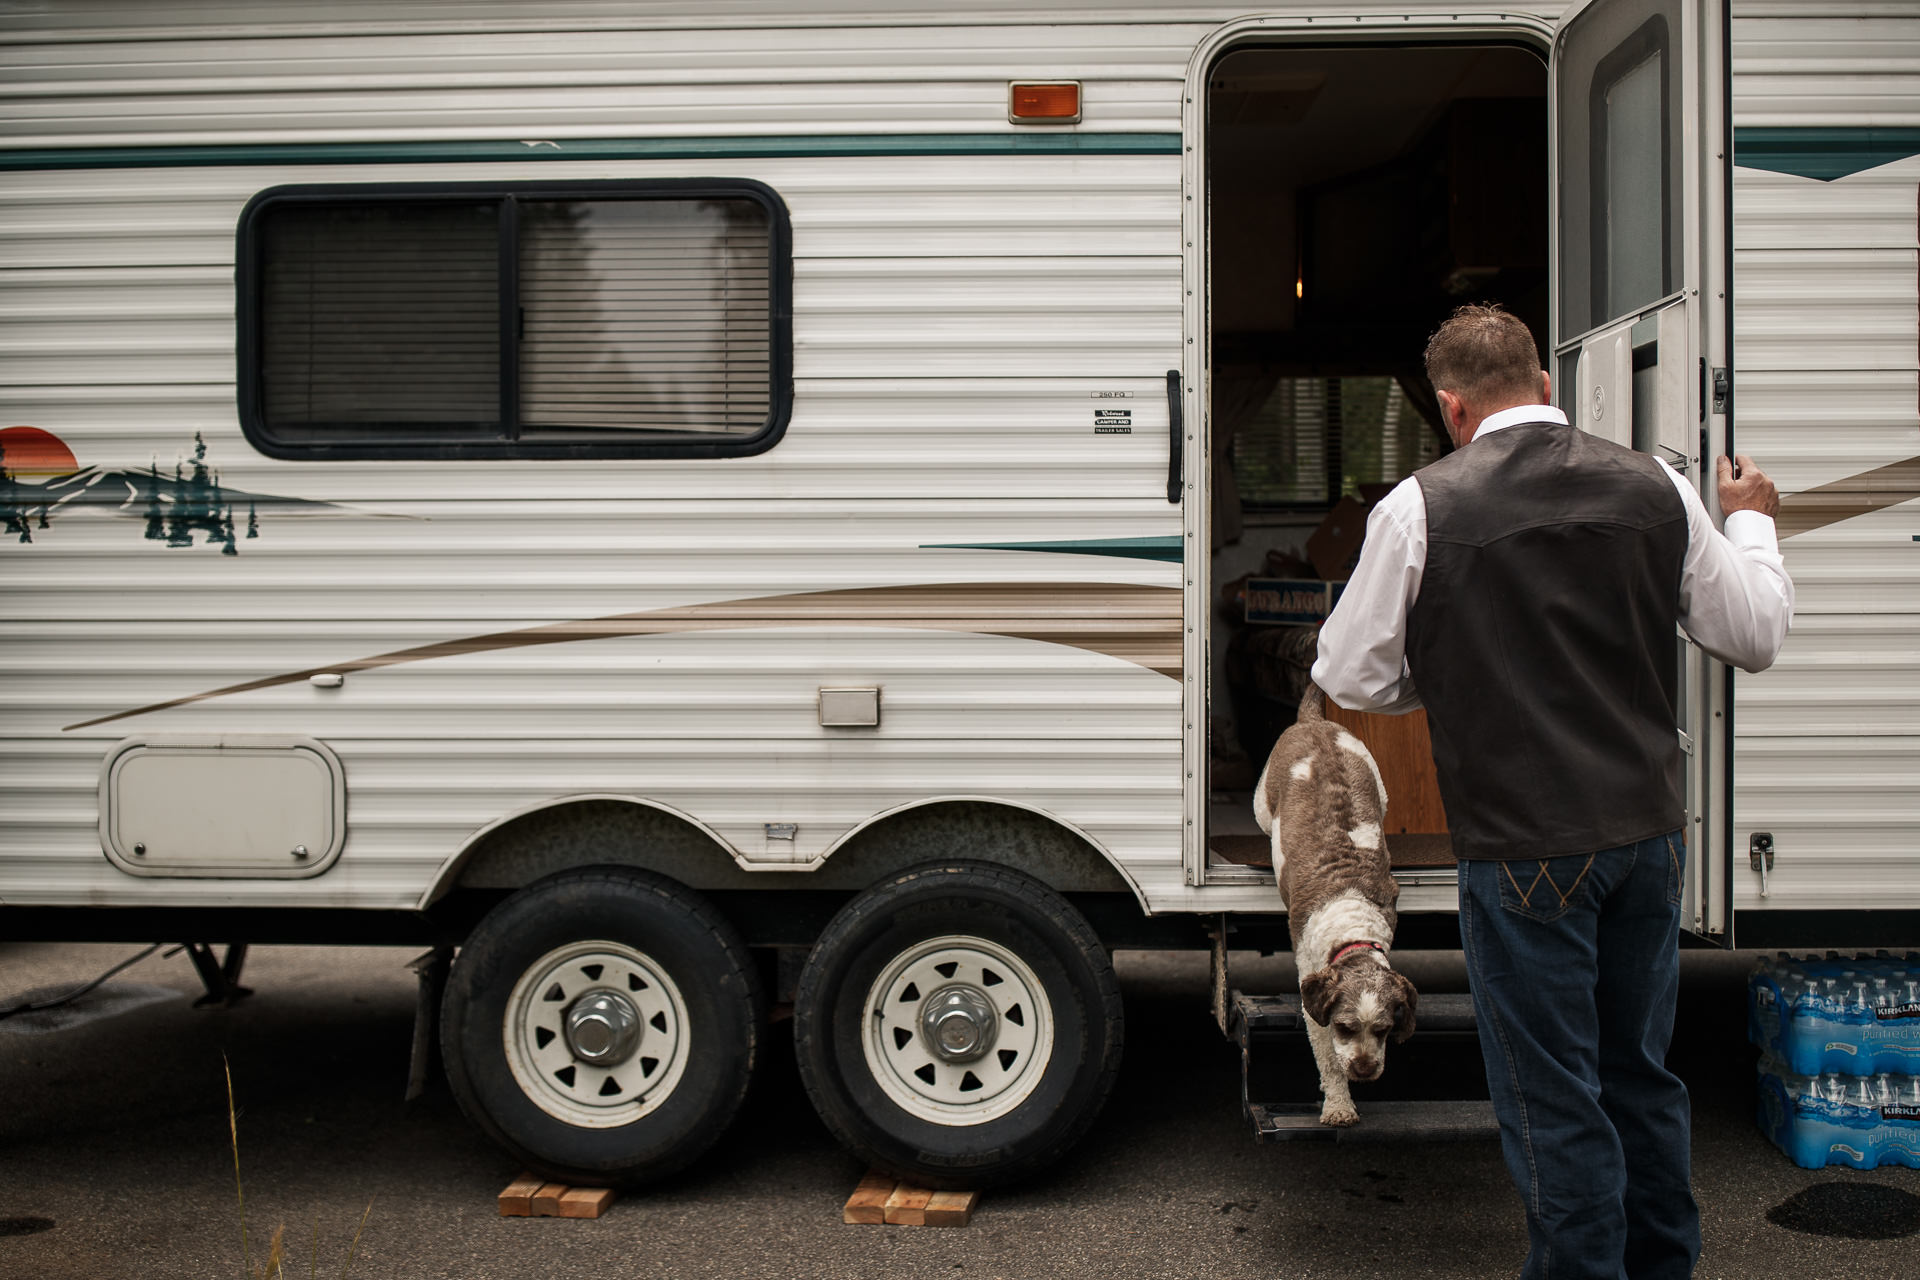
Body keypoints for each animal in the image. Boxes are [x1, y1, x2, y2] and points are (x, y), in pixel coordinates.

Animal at [1251, 690, 1420, 1120]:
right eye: (1345, 1028)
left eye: (1383, 1030)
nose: (1364, 1069)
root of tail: (1314, 722)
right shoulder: (1310, 984)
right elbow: (1326, 1056)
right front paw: (1339, 1105)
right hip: (1262, 801)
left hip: (1379, 783)